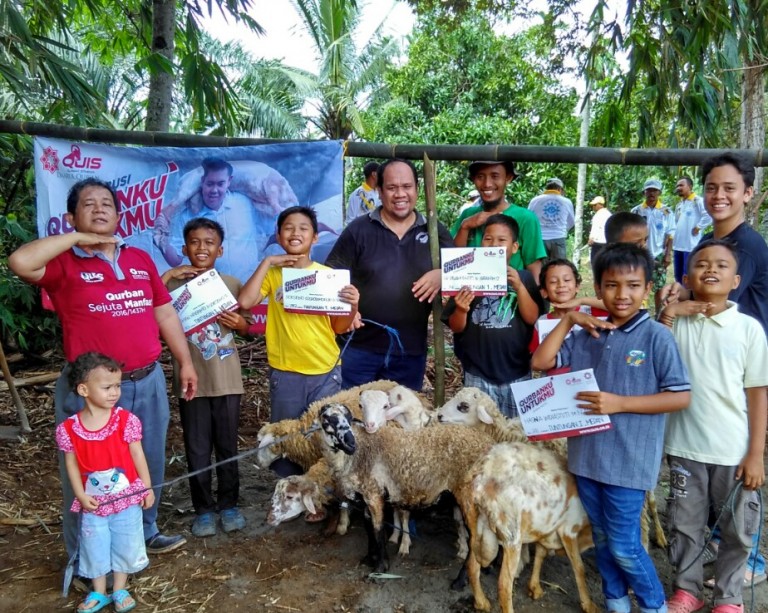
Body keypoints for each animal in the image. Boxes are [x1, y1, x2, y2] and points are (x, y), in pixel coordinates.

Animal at [452, 442, 596, 612]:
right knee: (504, 585)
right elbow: (579, 567)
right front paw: (589, 605)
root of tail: (481, 476)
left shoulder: (545, 529)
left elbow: (540, 554)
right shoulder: (569, 529)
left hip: (477, 528)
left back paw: (482, 602)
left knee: (472, 567)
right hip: (512, 535)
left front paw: (535, 588)